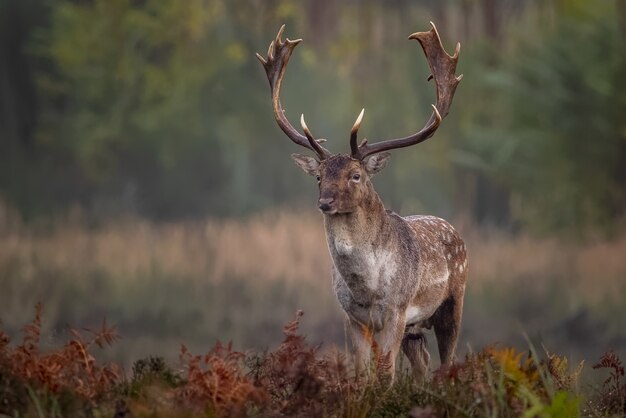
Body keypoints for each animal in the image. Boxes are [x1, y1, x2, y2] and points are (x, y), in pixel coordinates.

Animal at [254, 23, 464, 382]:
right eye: (319, 176)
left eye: (355, 175)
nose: (325, 201)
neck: (368, 289)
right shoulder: (352, 316)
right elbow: (361, 372)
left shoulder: (396, 309)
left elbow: (385, 372)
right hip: (415, 329)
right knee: (422, 364)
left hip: (452, 303)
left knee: (446, 363)